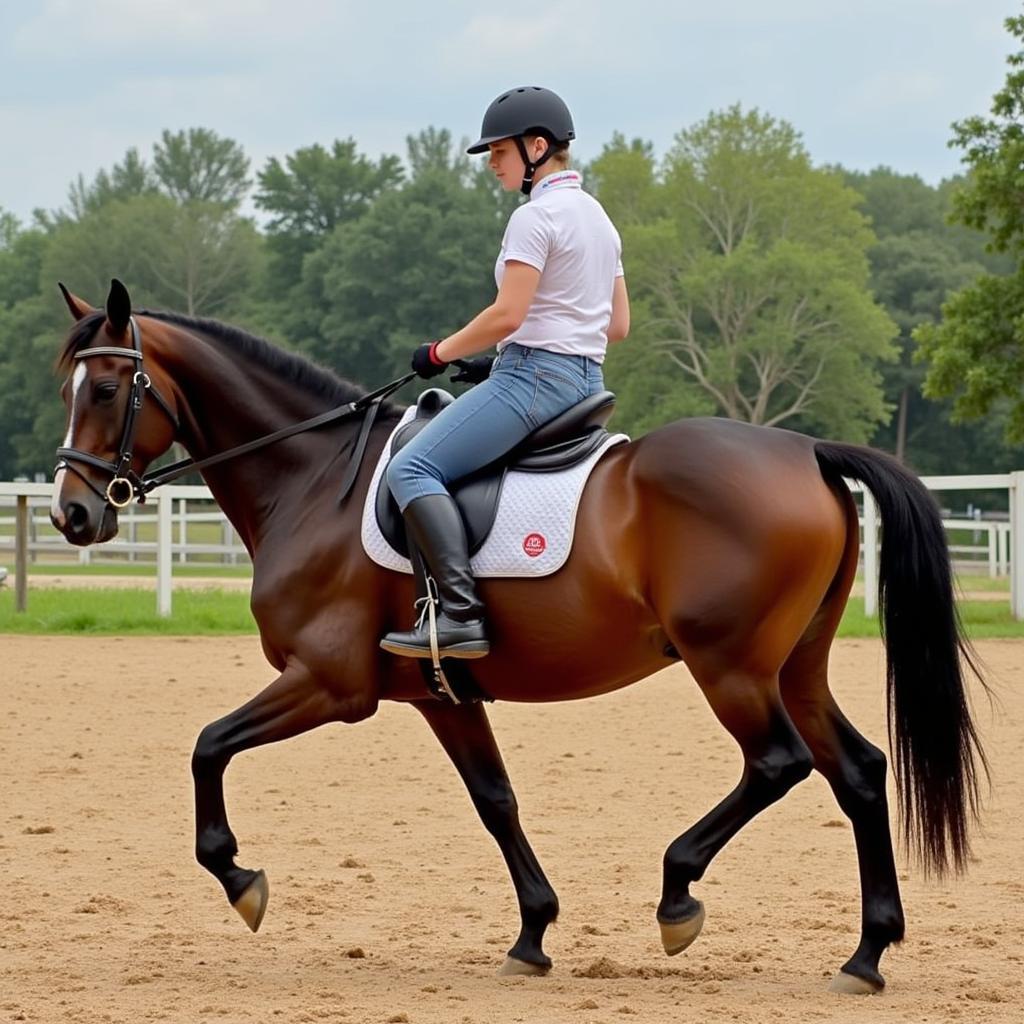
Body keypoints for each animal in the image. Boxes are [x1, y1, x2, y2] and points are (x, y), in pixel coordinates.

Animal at [49, 278, 991, 991]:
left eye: (106, 391)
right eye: (70, 390)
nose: (73, 515)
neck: (313, 481)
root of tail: (808, 453)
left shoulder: (330, 684)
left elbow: (208, 746)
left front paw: (241, 879)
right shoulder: (439, 695)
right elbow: (495, 800)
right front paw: (533, 934)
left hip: (730, 667)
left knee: (779, 764)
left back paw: (677, 896)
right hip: (795, 667)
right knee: (858, 772)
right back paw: (866, 954)